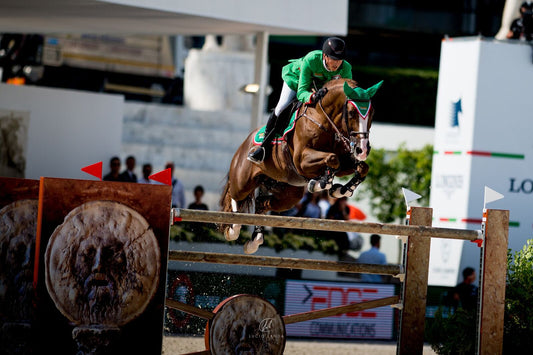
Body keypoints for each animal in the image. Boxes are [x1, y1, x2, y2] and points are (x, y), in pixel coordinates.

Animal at [218, 79, 380, 254]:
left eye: (372, 113)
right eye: (351, 113)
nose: (362, 150)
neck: (324, 120)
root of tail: (244, 144)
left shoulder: (345, 161)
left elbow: (361, 167)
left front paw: (341, 189)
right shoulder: (301, 161)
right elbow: (332, 158)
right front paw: (322, 183)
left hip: (289, 195)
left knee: (261, 203)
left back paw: (255, 241)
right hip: (243, 180)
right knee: (235, 195)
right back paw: (234, 228)